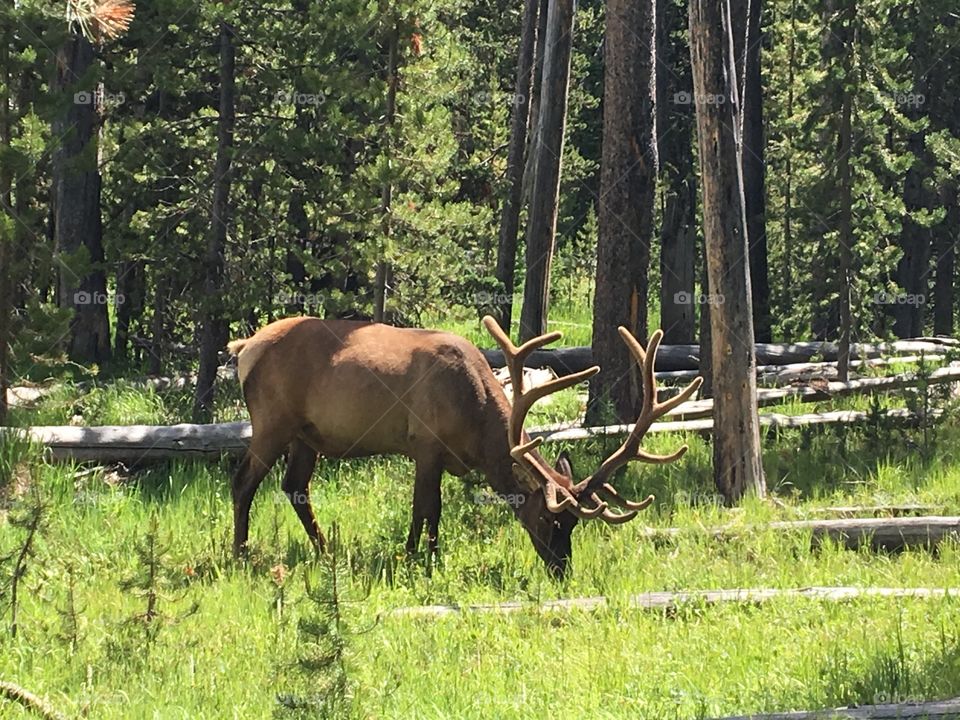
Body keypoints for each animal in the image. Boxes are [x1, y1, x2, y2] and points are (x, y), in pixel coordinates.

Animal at [226, 314, 701, 578]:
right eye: (548, 520)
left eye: (573, 525)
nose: (562, 570)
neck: (476, 429)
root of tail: (243, 347)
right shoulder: (425, 443)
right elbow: (425, 508)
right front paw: (418, 558)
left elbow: (428, 509)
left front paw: (423, 556)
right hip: (271, 421)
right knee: (243, 482)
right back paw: (240, 554)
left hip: (306, 435)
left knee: (295, 487)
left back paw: (327, 552)